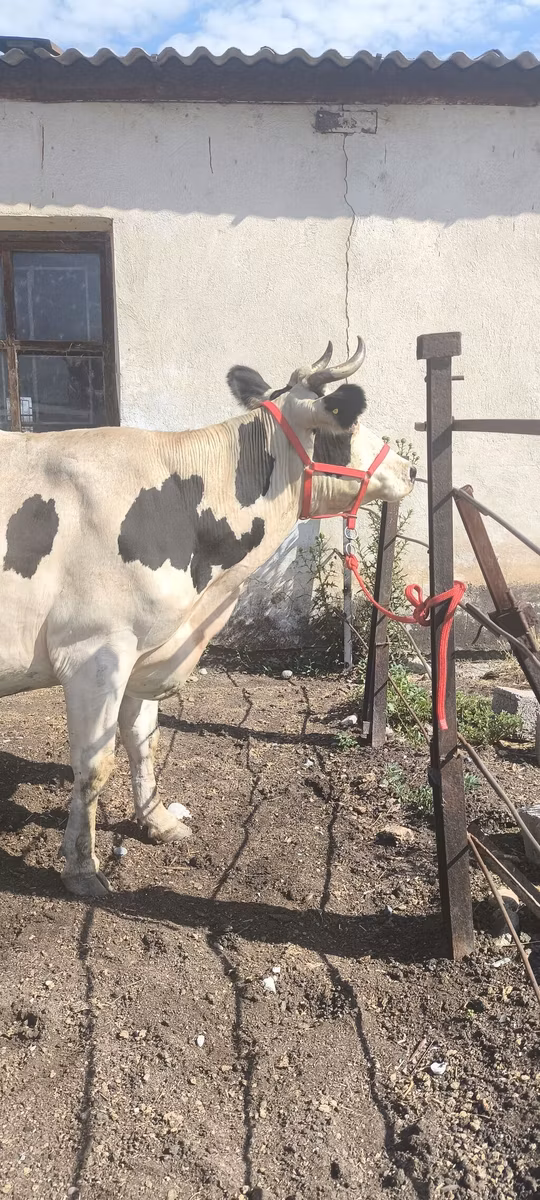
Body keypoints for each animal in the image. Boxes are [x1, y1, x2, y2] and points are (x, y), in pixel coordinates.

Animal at [0, 339, 416, 897]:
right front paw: (82, 867)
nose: (411, 469)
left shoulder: (148, 648)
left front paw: (157, 821)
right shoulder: (95, 653)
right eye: (347, 426)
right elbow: (94, 764)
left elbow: (144, 739)